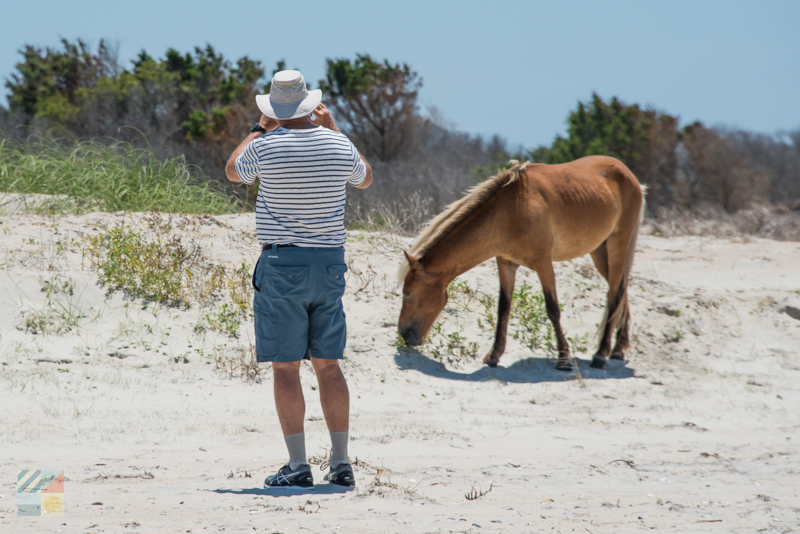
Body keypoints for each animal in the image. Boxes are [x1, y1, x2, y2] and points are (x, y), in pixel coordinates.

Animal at [398, 157, 644, 370]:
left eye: (407, 293)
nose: (403, 334)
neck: (510, 211)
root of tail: (629, 175)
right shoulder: (506, 264)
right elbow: (503, 308)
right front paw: (494, 355)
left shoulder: (543, 263)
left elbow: (552, 308)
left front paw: (564, 359)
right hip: (600, 252)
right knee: (620, 291)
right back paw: (618, 349)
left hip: (618, 245)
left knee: (614, 295)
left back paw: (601, 355)